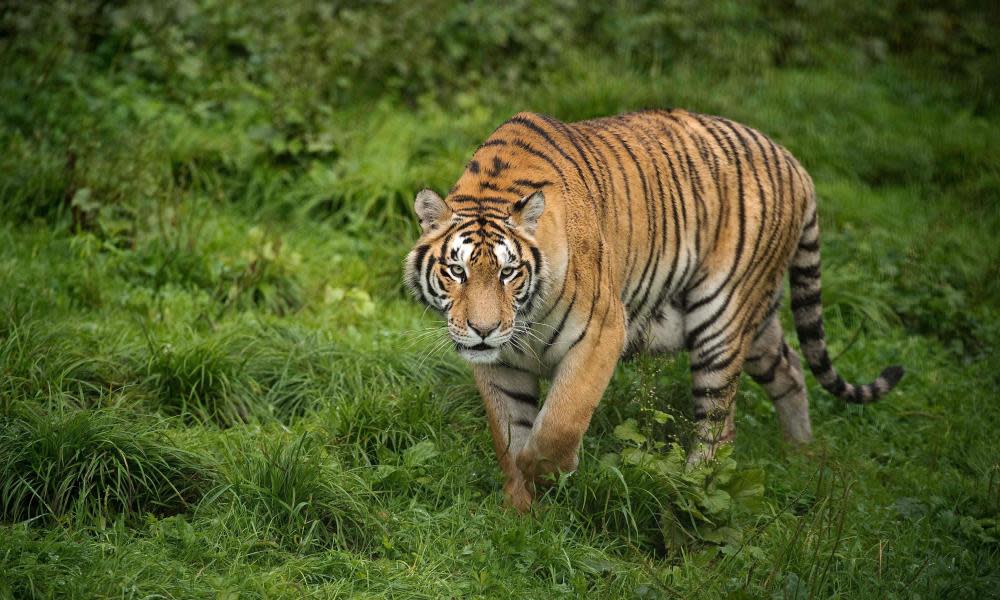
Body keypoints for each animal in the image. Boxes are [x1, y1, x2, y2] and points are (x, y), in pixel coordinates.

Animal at [402, 108, 904, 510]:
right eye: (457, 271)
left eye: (509, 273)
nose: (483, 330)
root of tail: (795, 162)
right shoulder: (499, 364)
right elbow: (509, 433)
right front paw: (520, 511)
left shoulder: (602, 332)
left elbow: (560, 421)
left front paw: (543, 472)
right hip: (758, 322)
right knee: (792, 368)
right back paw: (799, 454)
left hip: (721, 317)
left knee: (719, 427)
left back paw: (691, 489)